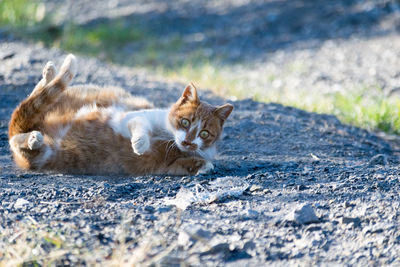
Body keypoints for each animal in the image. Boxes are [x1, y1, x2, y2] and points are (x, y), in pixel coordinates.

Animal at [7, 54, 233, 176]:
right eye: (185, 122)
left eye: (204, 133)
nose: (187, 141)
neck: (169, 138)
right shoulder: (130, 117)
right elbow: (139, 123)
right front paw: (140, 144)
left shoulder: (165, 165)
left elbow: (184, 163)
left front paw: (202, 166)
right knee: (32, 104)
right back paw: (49, 74)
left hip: (47, 153)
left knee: (24, 140)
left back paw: (34, 138)